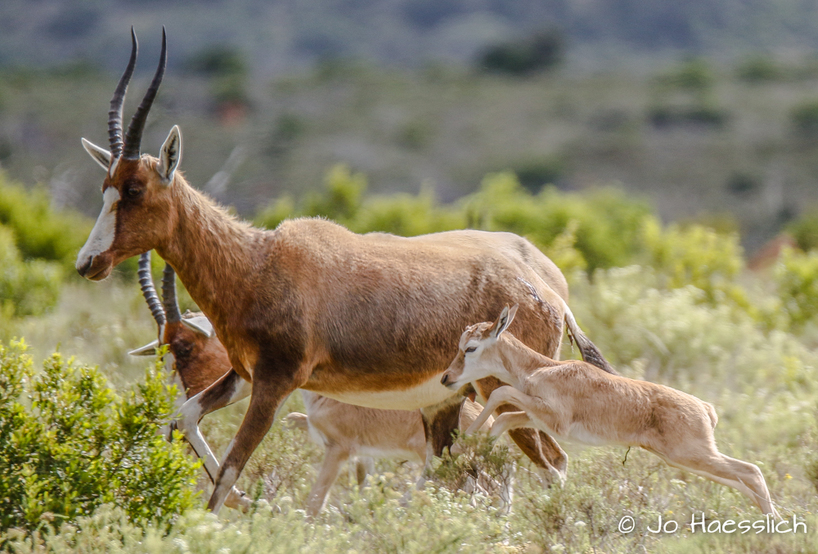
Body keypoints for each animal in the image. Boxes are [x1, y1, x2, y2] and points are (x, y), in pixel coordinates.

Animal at [78, 29, 612, 512]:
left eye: (134, 189)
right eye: (105, 186)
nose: (89, 262)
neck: (259, 261)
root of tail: (551, 297)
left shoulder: (275, 383)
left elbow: (229, 469)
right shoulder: (244, 374)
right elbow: (182, 419)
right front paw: (251, 504)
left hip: (502, 393)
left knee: (552, 463)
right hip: (448, 400)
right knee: (457, 465)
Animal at [440, 304, 776, 516]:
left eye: (470, 347)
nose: (446, 378)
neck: (543, 368)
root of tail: (705, 408)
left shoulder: (552, 417)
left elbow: (501, 392)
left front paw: (458, 446)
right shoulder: (535, 415)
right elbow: (505, 416)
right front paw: (466, 449)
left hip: (694, 456)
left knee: (752, 471)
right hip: (688, 460)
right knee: (742, 481)